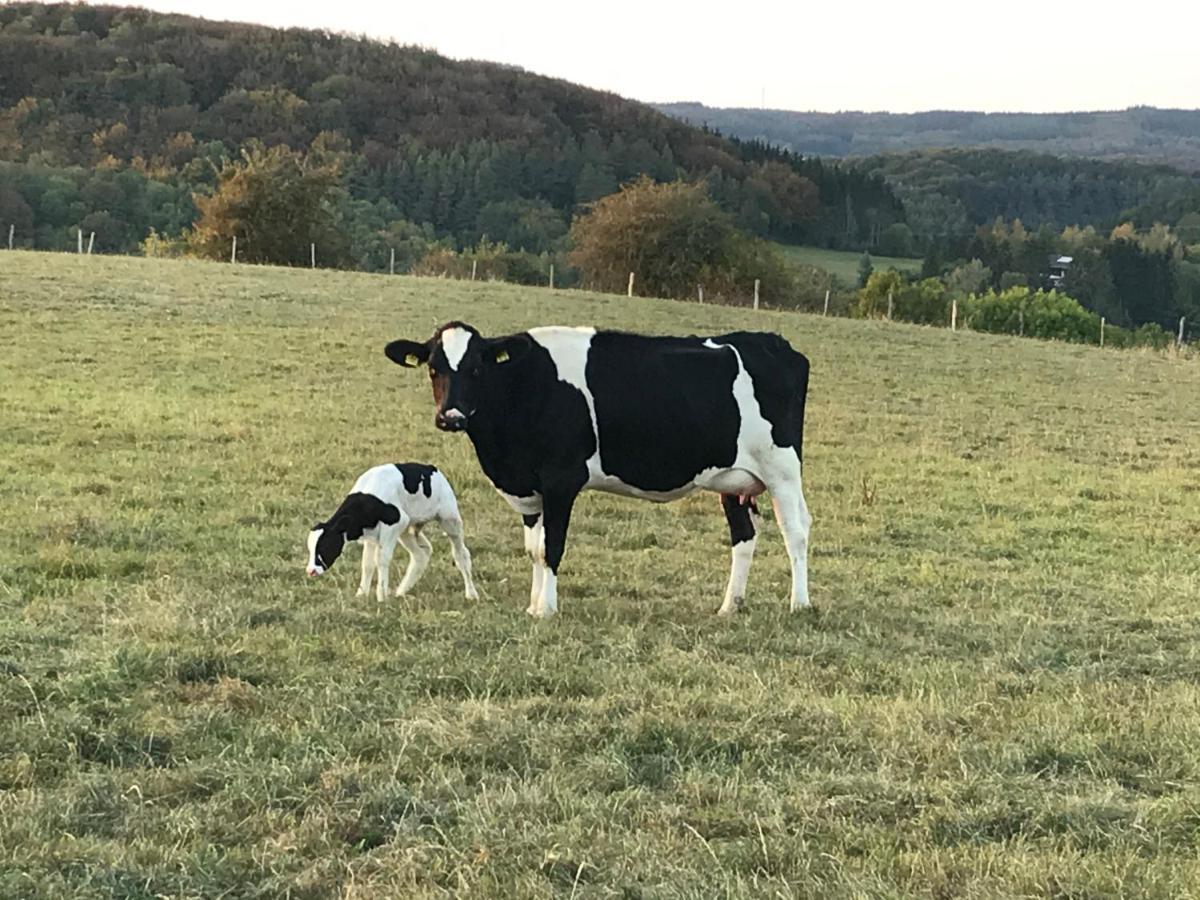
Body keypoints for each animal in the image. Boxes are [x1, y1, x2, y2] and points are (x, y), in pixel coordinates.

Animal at [304, 465, 477, 607]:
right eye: (310, 549)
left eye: (325, 546)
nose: (311, 571)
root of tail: (432, 468)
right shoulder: (372, 535)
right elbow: (367, 564)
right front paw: (361, 594)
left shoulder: (395, 523)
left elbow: (381, 560)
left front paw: (381, 596)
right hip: (408, 529)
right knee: (422, 553)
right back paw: (401, 591)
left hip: (449, 518)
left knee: (461, 554)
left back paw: (471, 594)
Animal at [384, 324, 816, 619]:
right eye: (433, 368)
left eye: (476, 369)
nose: (451, 417)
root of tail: (772, 341)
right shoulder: (530, 491)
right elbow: (534, 549)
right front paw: (533, 604)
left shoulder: (561, 480)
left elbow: (552, 546)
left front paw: (546, 610)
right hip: (733, 479)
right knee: (744, 537)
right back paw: (730, 605)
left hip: (782, 470)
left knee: (795, 531)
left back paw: (799, 602)